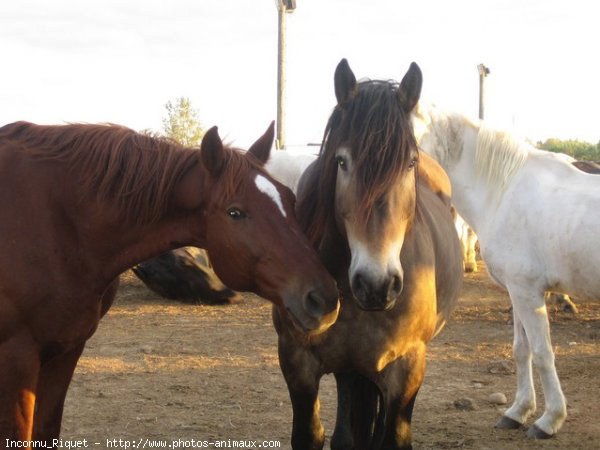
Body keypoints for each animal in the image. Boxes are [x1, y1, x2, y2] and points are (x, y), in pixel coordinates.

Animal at [0, 120, 338, 446]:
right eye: (235, 212)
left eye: (290, 199)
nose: (323, 299)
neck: (57, 222)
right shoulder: (17, 361)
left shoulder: (65, 352)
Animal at [274, 60, 464, 450]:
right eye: (341, 161)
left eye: (409, 164)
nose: (377, 284)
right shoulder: (296, 359)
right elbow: (313, 435)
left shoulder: (406, 366)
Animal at [412, 102, 600, 440]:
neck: (503, 191)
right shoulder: (518, 291)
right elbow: (521, 350)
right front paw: (518, 412)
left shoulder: (527, 292)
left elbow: (542, 353)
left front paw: (549, 420)